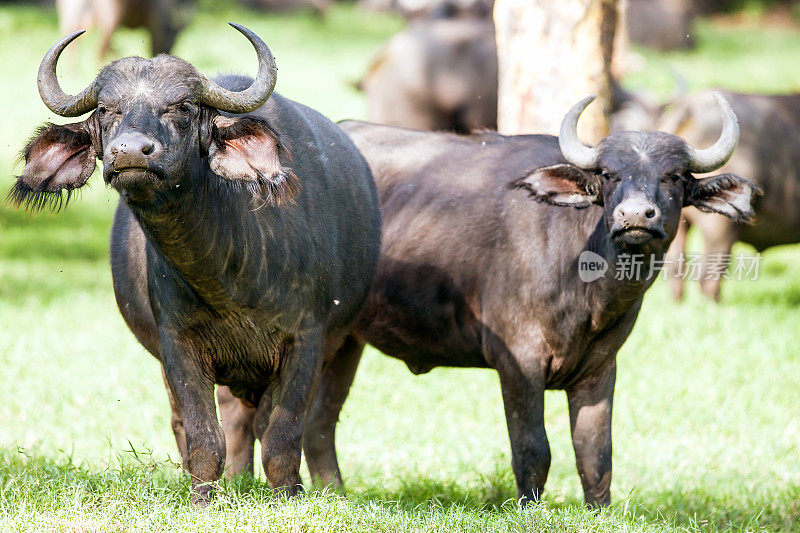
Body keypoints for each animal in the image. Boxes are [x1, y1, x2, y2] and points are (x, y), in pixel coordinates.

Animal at [11, 25, 382, 504]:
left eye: (183, 108)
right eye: (106, 110)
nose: (130, 152)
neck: (230, 274)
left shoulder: (307, 338)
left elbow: (282, 434)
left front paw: (288, 495)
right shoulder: (177, 345)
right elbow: (204, 435)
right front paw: (203, 496)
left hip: (348, 343)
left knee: (309, 422)